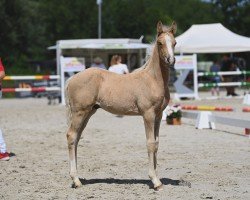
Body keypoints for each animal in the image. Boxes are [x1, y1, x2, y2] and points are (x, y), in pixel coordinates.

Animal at [65, 20, 177, 191]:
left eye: (175, 43)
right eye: (160, 43)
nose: (170, 60)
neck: (152, 79)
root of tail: (72, 79)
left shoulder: (158, 115)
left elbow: (156, 143)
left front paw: (157, 178)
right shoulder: (148, 115)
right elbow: (150, 143)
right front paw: (155, 181)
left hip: (88, 113)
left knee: (76, 138)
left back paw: (76, 179)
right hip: (80, 112)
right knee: (71, 136)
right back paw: (76, 180)